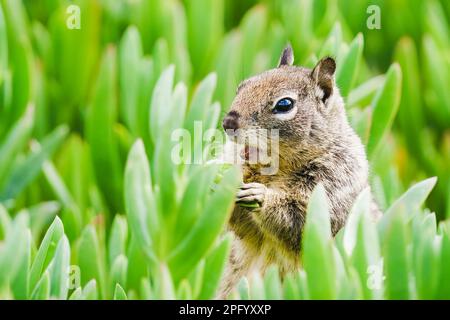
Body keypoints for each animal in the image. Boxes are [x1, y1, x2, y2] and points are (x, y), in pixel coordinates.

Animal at [218, 44, 380, 298]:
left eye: (284, 104)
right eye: (242, 86)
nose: (228, 123)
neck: (273, 170)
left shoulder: (333, 185)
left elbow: (298, 221)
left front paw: (259, 195)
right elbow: (240, 226)